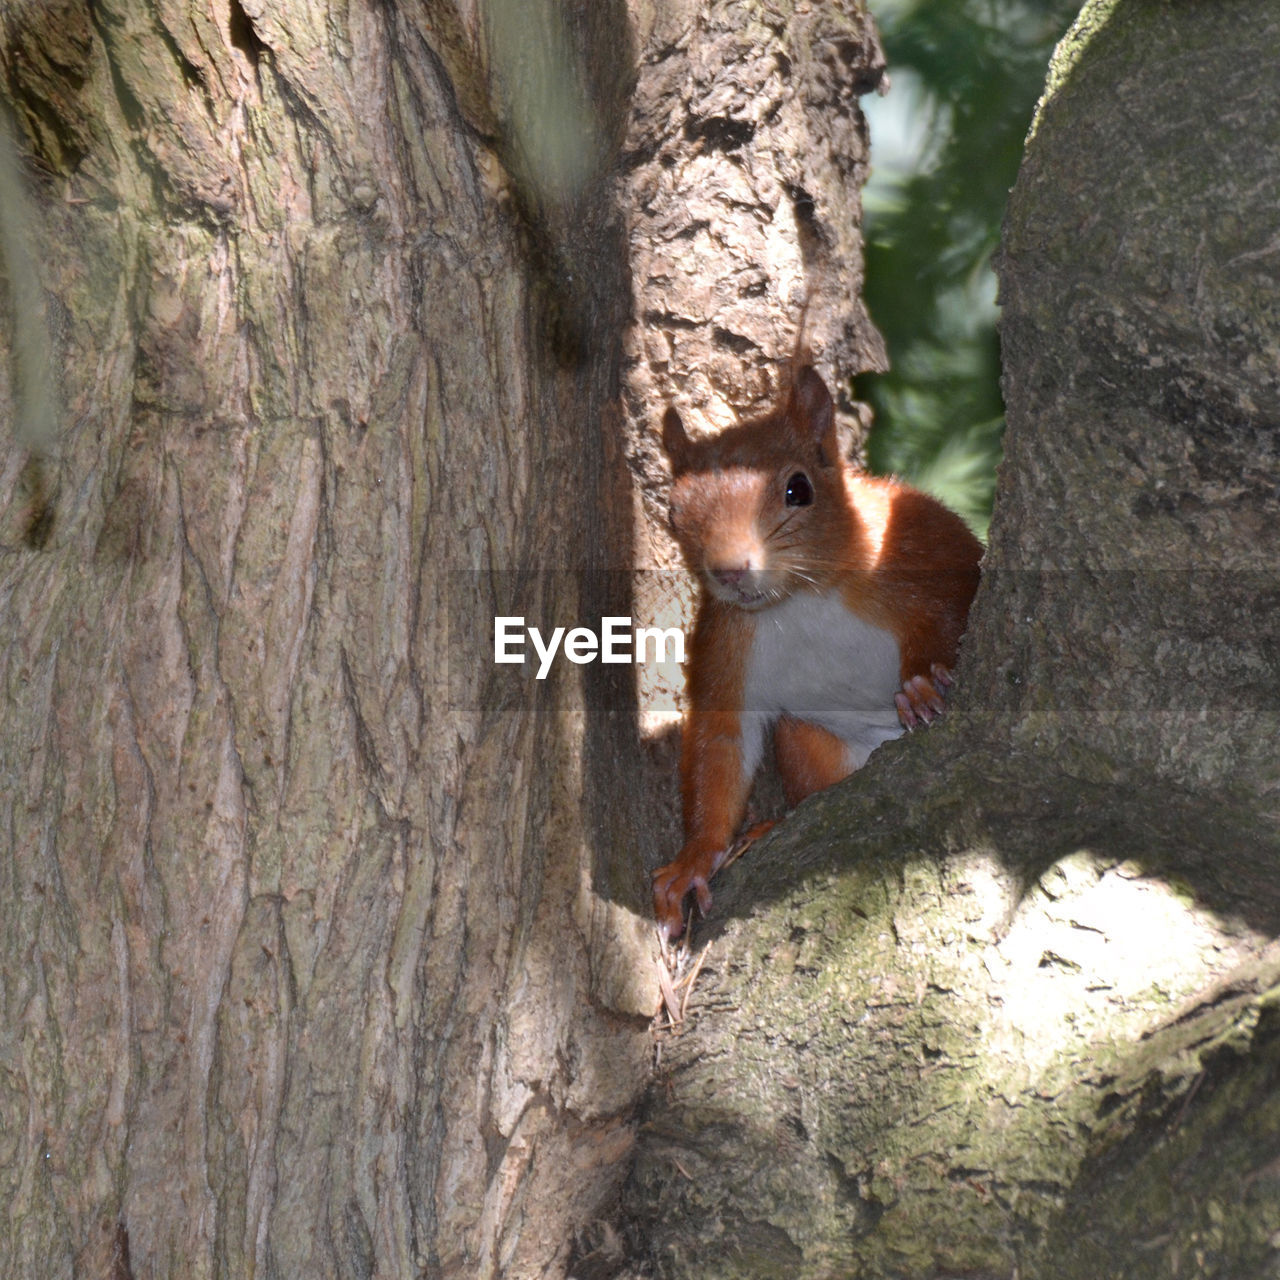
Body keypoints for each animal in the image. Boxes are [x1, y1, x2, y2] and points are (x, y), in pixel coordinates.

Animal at [655, 363, 983, 942]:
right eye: (673, 513)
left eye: (798, 488)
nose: (729, 571)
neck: (800, 598)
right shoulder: (727, 643)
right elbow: (721, 742)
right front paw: (695, 858)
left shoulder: (923, 557)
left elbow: (950, 616)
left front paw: (923, 682)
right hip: (809, 743)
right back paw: (770, 824)